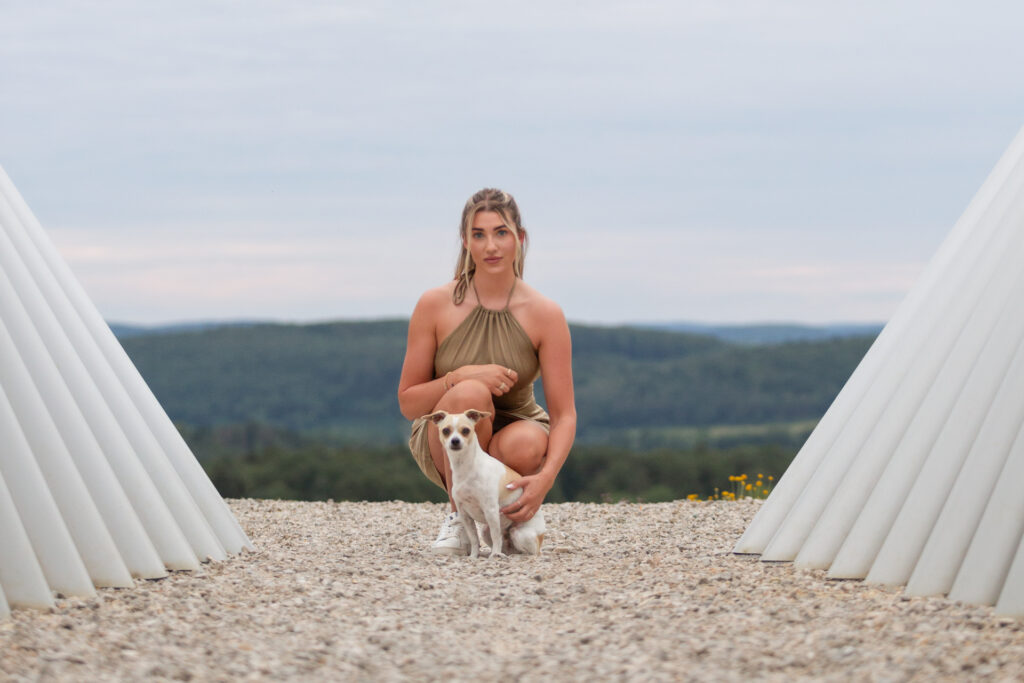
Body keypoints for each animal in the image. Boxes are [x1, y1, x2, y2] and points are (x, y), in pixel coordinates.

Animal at [430, 409, 548, 557]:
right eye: (446, 430)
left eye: (466, 430)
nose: (455, 440)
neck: (466, 468)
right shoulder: (465, 515)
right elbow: (474, 539)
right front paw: (474, 556)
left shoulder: (491, 511)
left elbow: (496, 536)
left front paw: (494, 556)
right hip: (485, 531)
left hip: (520, 534)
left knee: (532, 552)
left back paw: (505, 554)